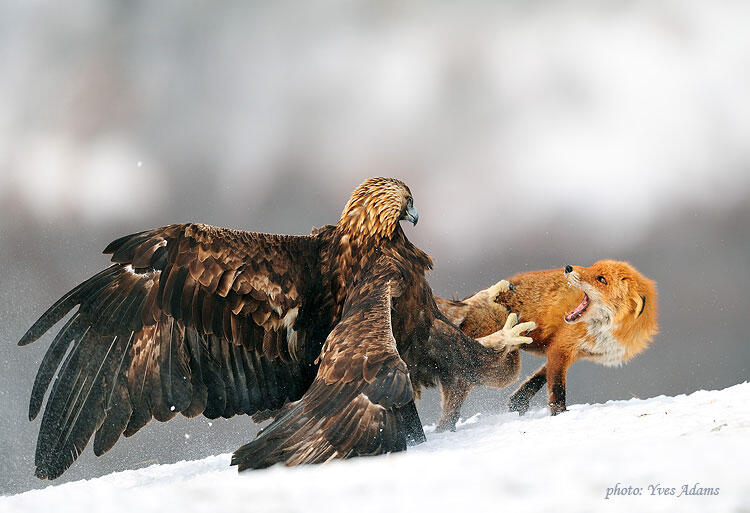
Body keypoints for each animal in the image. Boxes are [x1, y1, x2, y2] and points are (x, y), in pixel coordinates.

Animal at [434, 260, 658, 430]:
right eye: (592, 267)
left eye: (601, 279)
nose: (568, 267)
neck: (606, 331)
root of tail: (463, 304)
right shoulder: (562, 347)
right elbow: (557, 388)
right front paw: (559, 415)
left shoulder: (569, 350)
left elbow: (538, 378)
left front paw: (518, 402)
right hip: (506, 368)